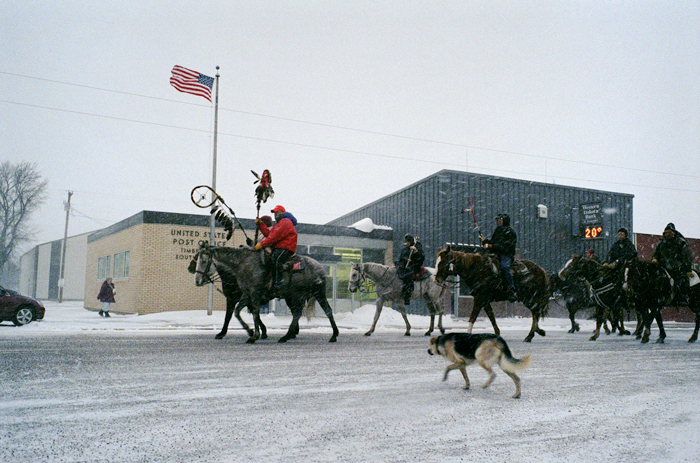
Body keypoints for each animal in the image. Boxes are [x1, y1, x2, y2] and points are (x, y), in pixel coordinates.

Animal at [191, 245, 340, 342]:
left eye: (203, 261)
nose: (197, 281)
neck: (242, 265)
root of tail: (320, 267)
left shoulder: (252, 294)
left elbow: (252, 314)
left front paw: (255, 335)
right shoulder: (246, 295)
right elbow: (238, 313)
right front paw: (250, 331)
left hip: (316, 293)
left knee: (326, 310)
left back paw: (333, 335)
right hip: (294, 296)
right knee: (297, 313)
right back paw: (288, 335)